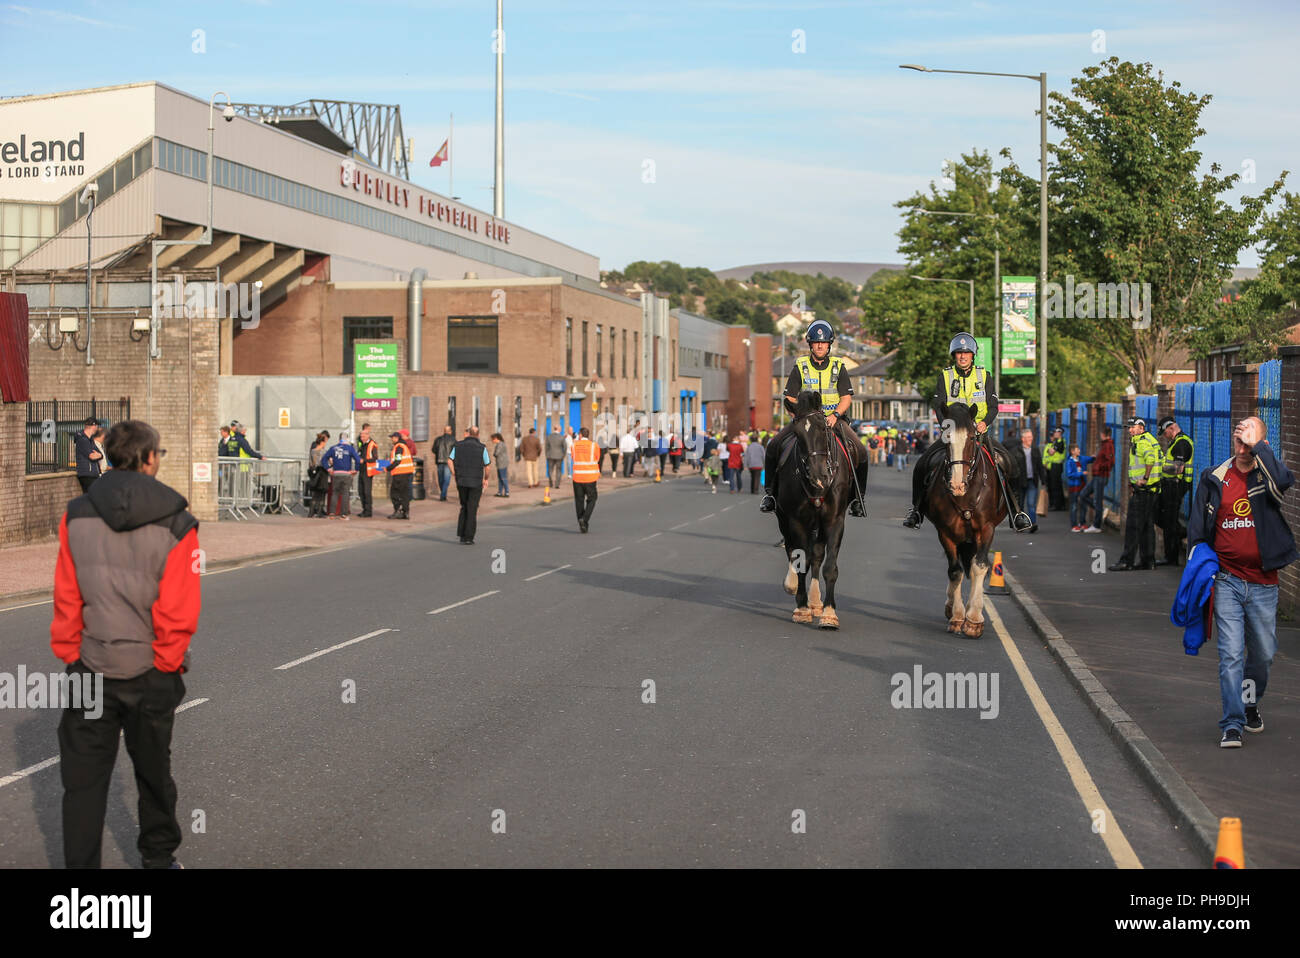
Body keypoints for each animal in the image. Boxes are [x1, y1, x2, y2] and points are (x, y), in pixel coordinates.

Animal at [769, 389, 863, 629]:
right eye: (797, 433)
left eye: (823, 428)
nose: (819, 477)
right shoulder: (796, 520)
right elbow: (800, 559)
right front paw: (802, 609)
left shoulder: (834, 520)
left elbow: (829, 566)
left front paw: (829, 614)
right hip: (785, 519)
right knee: (793, 551)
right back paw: (794, 587)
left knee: (817, 556)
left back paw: (815, 601)